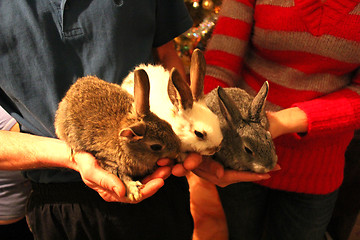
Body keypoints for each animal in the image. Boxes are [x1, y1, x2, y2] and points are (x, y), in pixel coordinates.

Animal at [54, 70, 181, 202]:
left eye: (168, 125)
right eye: (156, 147)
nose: (177, 151)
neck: (126, 148)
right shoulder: (109, 162)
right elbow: (122, 178)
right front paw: (134, 191)